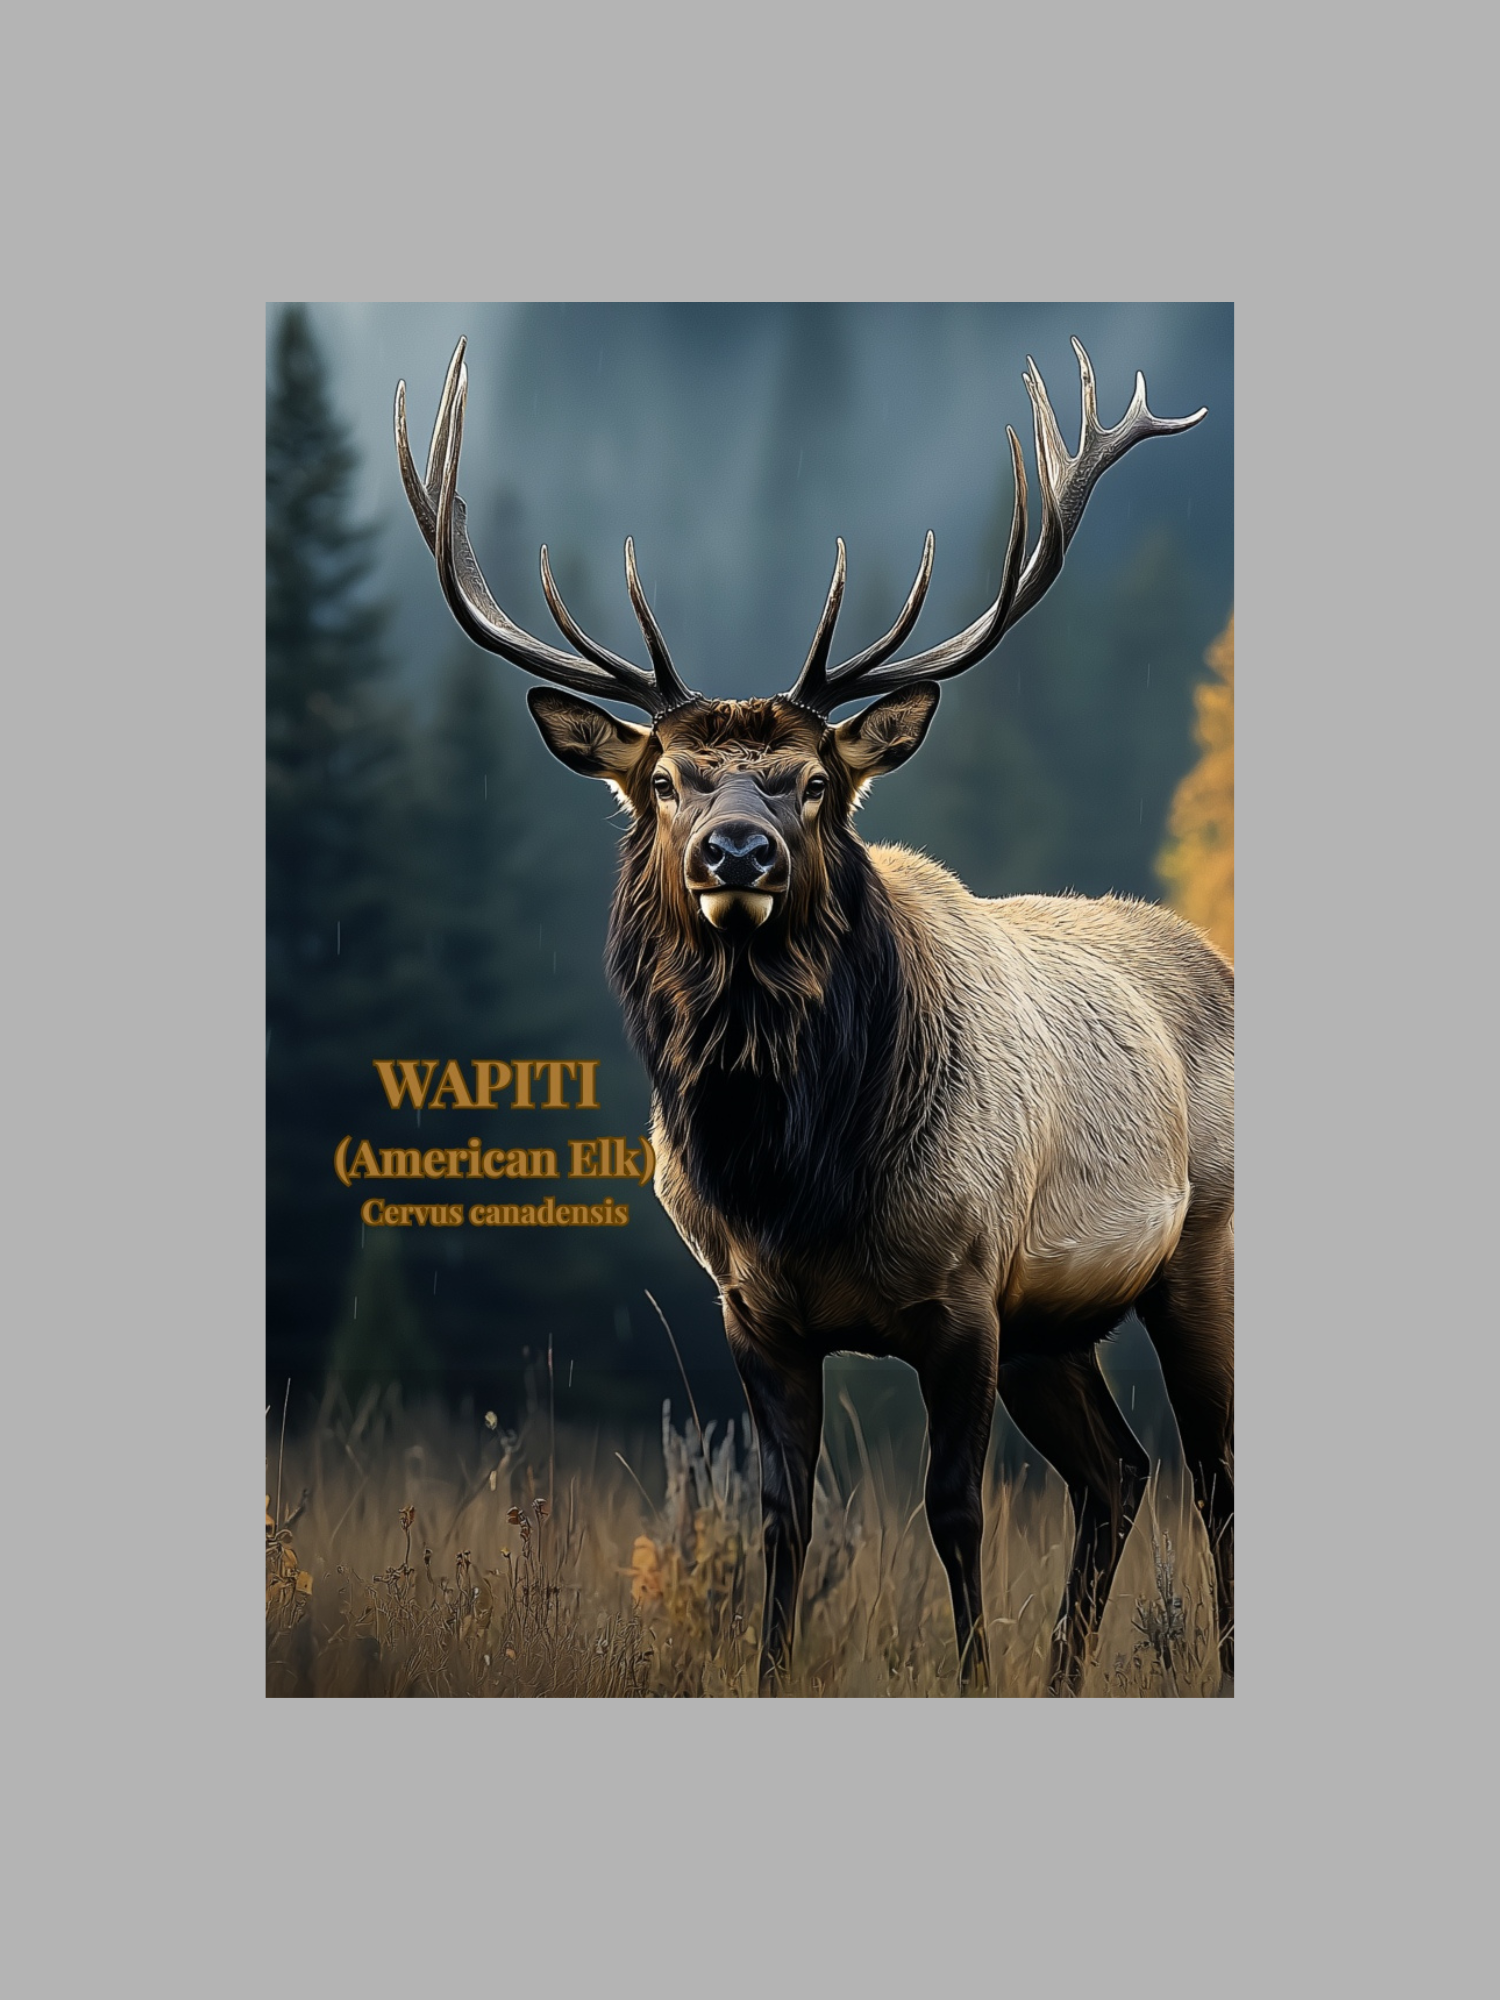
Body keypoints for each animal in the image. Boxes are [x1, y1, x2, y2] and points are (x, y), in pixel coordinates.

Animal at [394, 335, 1233, 1695]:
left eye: (815, 779)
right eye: (665, 777)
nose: (736, 850)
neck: (798, 1176)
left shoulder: (963, 1294)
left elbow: (955, 1510)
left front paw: (974, 1676)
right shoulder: (757, 1312)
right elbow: (782, 1516)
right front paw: (774, 1668)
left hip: (1200, 1245)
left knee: (1212, 1472)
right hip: (1055, 1320)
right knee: (1119, 1472)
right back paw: (1070, 1668)